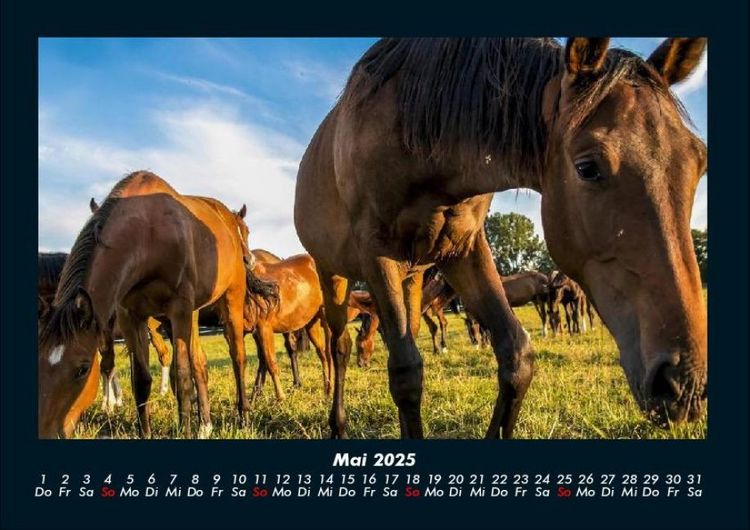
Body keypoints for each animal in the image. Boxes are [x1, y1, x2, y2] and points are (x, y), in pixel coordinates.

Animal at [39, 171, 277, 438]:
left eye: (82, 368)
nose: (45, 432)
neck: (147, 236)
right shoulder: (129, 317)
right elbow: (141, 381)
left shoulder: (178, 310)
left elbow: (181, 377)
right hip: (191, 315)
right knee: (200, 363)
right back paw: (205, 425)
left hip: (230, 301)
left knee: (237, 357)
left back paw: (243, 416)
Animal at [295, 38, 708, 438]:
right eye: (587, 167)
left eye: (699, 162)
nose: (683, 384)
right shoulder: (377, 255)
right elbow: (406, 373)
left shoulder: (463, 249)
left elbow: (516, 355)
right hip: (334, 274)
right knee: (340, 345)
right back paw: (338, 425)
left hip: (412, 276)